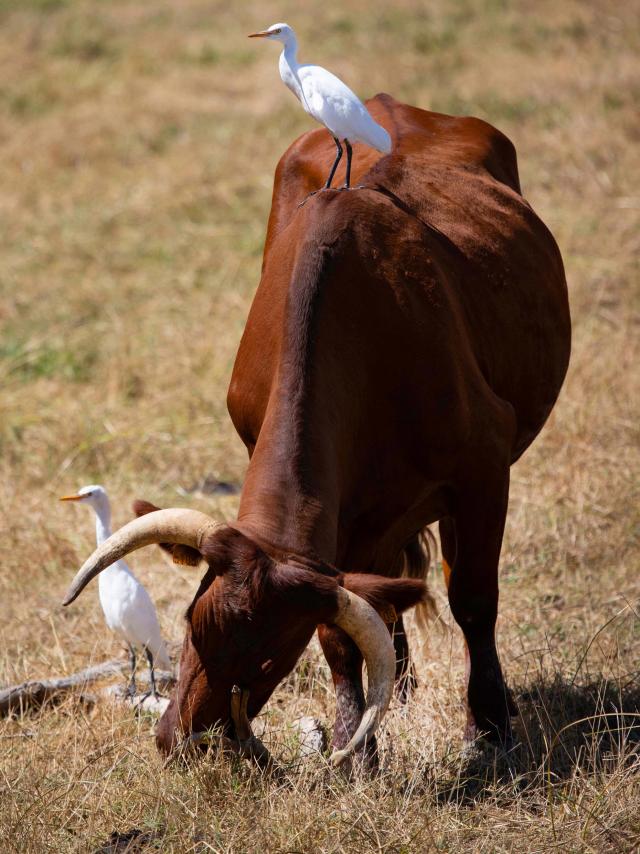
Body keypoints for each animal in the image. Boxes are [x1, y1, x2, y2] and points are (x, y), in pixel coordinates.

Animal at [63, 95, 568, 768]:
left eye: (270, 657)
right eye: (194, 624)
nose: (184, 743)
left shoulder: (482, 473)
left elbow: (473, 599)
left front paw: (487, 728)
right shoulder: (339, 528)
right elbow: (342, 634)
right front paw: (357, 742)